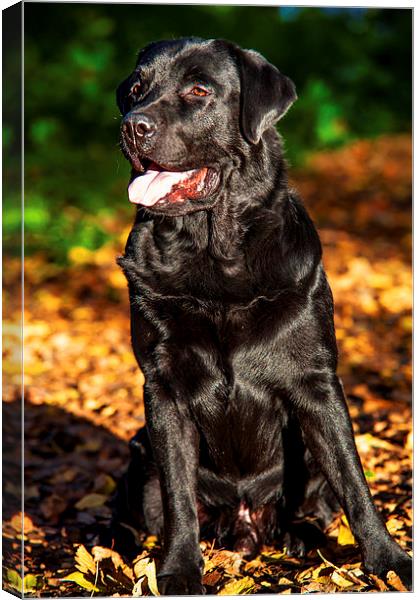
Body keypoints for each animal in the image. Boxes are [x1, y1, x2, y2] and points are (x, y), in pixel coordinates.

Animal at [113, 38, 412, 596]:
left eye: (199, 90)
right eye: (137, 88)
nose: (131, 125)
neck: (215, 253)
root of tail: (247, 522)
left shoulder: (316, 382)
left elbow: (355, 482)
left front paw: (390, 561)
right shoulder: (162, 389)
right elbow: (178, 498)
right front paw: (179, 570)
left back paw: (301, 536)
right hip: (142, 448)